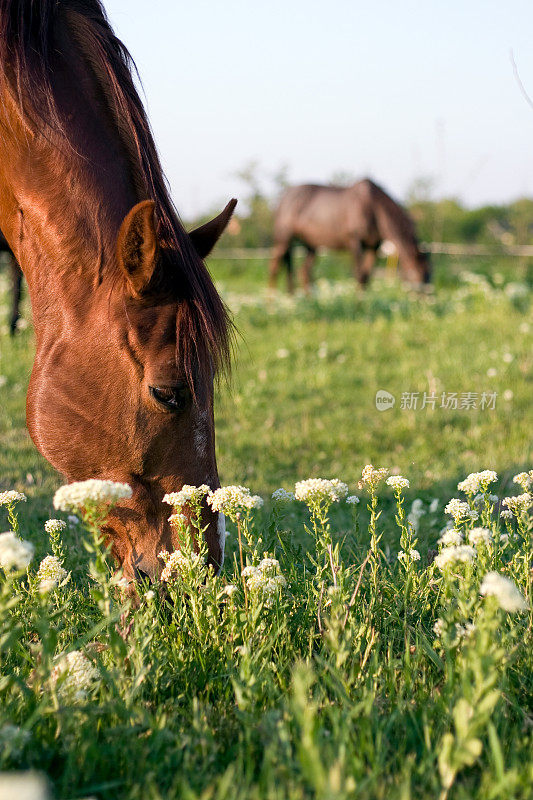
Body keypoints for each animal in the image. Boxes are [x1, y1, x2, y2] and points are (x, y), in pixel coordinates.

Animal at [268, 180, 430, 292]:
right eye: (418, 272)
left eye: (429, 272)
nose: (426, 297)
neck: (373, 207)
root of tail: (284, 197)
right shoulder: (355, 242)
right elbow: (359, 275)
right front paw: (357, 306)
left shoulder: (373, 247)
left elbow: (366, 277)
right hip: (283, 240)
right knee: (275, 267)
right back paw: (272, 304)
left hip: (311, 246)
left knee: (303, 272)